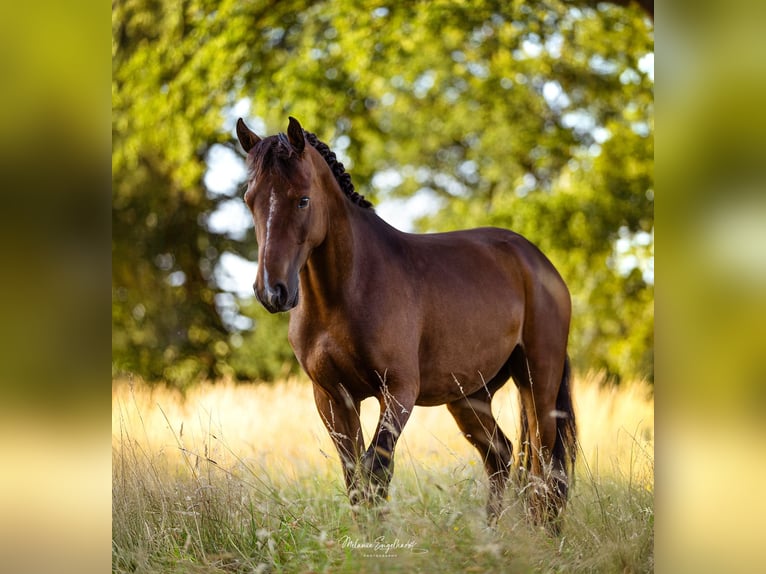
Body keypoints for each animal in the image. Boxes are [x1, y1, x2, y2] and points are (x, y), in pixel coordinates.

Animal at [237, 117, 580, 536]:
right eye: (250, 199)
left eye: (302, 199)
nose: (272, 291)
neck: (347, 290)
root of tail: (538, 262)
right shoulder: (332, 397)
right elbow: (354, 476)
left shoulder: (398, 391)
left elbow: (376, 469)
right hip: (470, 396)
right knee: (501, 455)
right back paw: (493, 536)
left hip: (538, 381)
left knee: (545, 461)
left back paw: (543, 535)